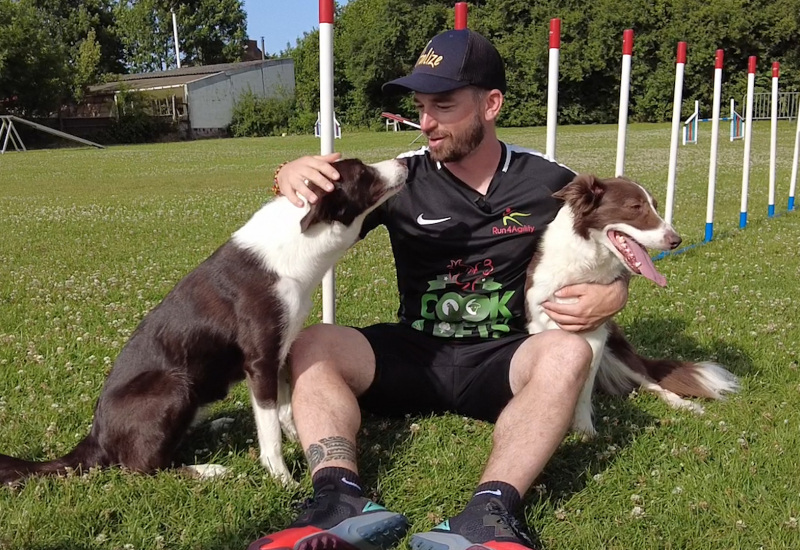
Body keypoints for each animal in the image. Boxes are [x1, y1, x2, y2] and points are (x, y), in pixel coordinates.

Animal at [0, 157, 410, 486]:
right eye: (362, 172)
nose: (405, 162)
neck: (300, 242)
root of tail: (95, 436)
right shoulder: (260, 360)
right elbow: (270, 434)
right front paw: (282, 478)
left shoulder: (280, 352)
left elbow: (283, 411)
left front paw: (296, 438)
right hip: (172, 386)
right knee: (141, 467)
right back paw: (207, 470)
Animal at [524, 175, 736, 438]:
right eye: (635, 207)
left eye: (656, 205)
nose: (676, 241)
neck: (586, 261)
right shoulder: (538, 321)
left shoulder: (595, 335)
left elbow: (583, 390)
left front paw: (584, 431)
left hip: (617, 353)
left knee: (653, 383)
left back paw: (684, 404)